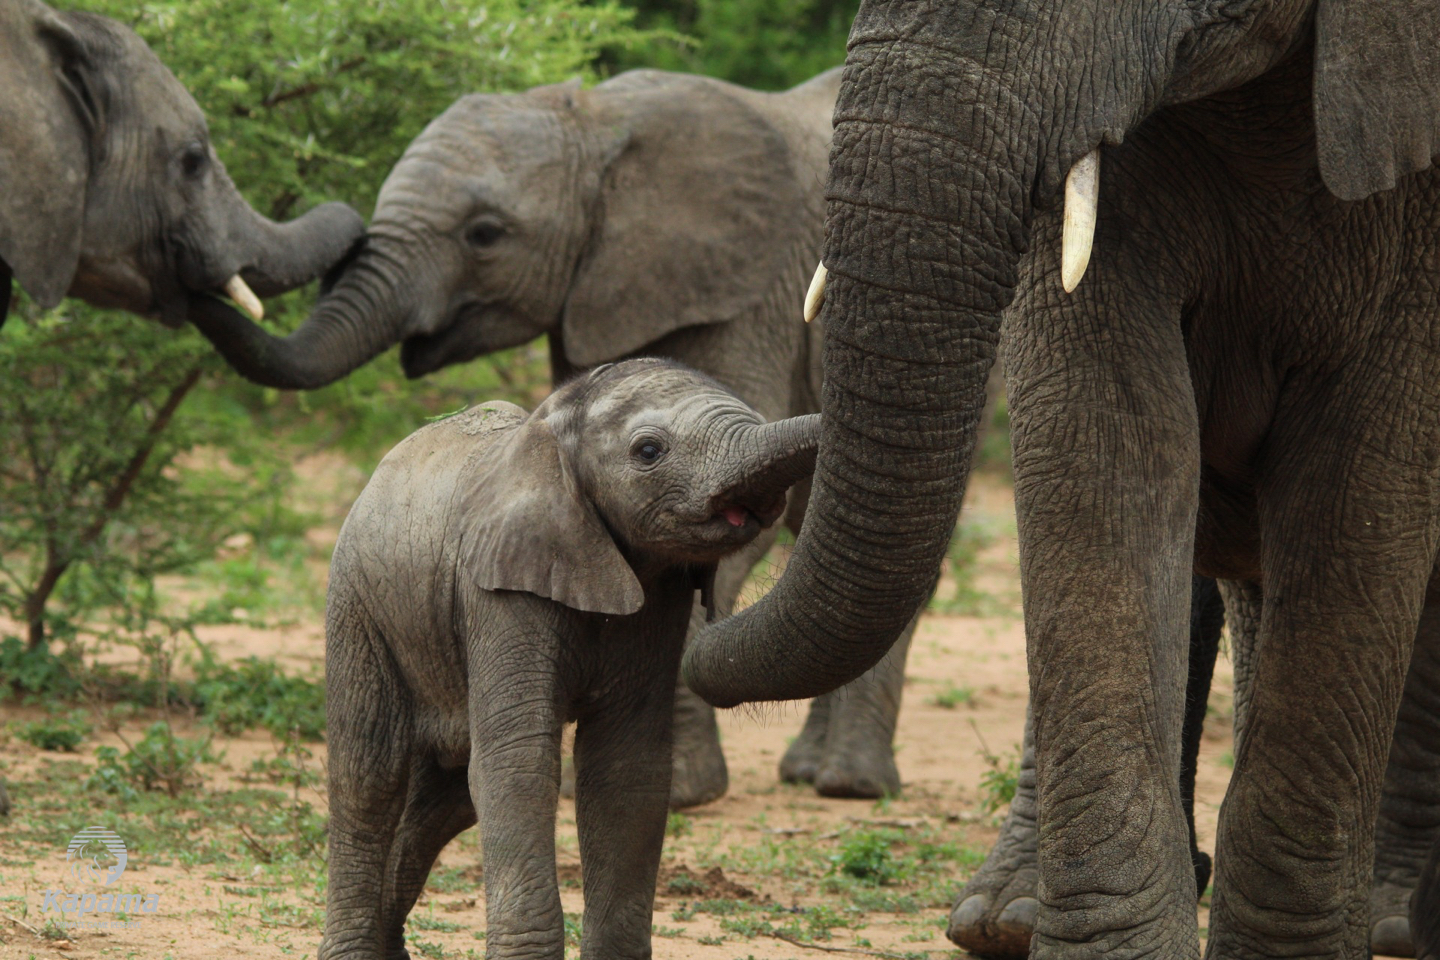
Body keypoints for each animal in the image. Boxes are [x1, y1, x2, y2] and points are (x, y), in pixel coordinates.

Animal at [188, 66, 918, 804]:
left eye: (485, 234)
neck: (602, 119)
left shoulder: (746, 295)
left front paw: (678, 792)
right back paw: (812, 772)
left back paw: (848, 783)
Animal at [320, 358, 819, 960]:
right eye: (648, 451)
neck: (552, 429)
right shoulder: (499, 585)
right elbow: (519, 764)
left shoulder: (661, 601)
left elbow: (625, 769)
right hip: (359, 602)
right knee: (369, 773)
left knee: (447, 799)